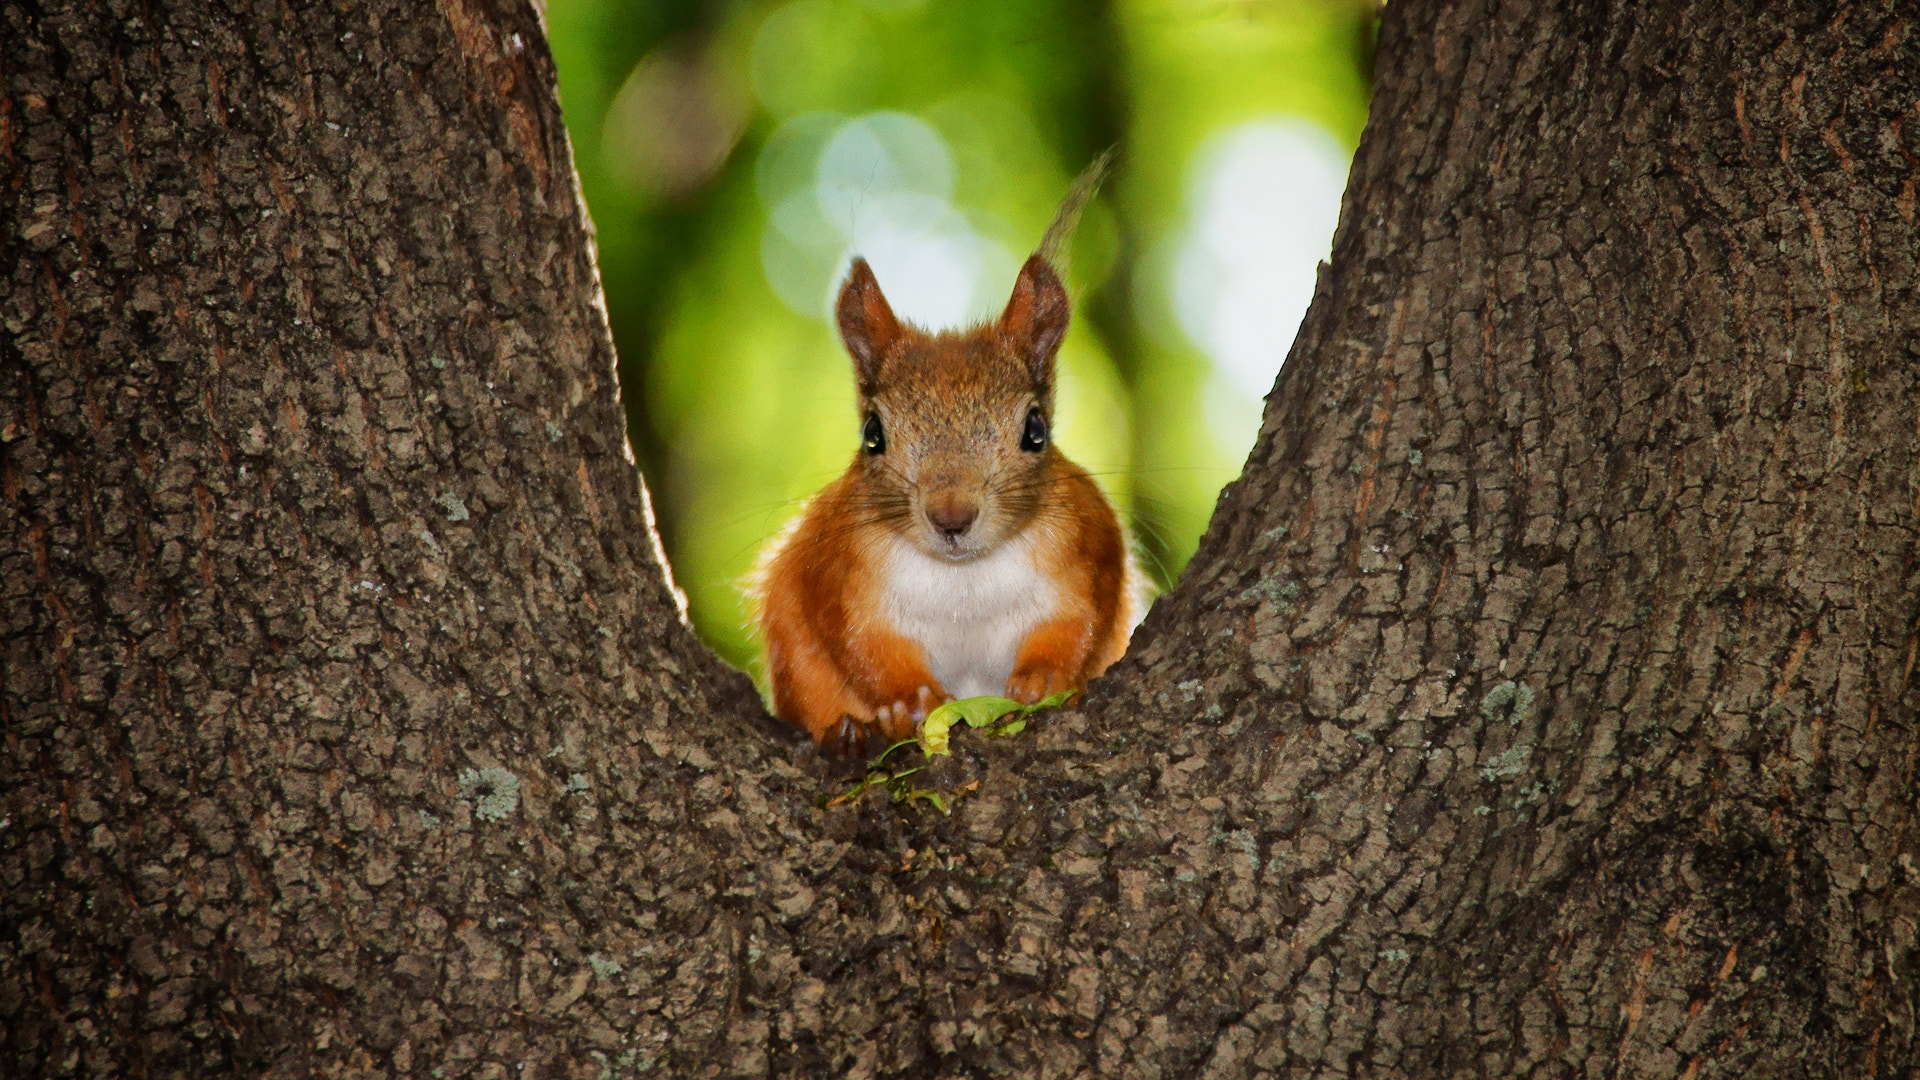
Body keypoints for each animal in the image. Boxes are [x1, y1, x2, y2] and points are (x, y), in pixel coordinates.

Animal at [748, 155, 1136, 753]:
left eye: (1035, 430)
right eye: (873, 434)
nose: (951, 517)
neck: (963, 578)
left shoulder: (1087, 548)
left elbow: (1079, 623)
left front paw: (1045, 676)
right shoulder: (840, 572)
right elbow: (862, 644)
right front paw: (912, 701)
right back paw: (850, 730)